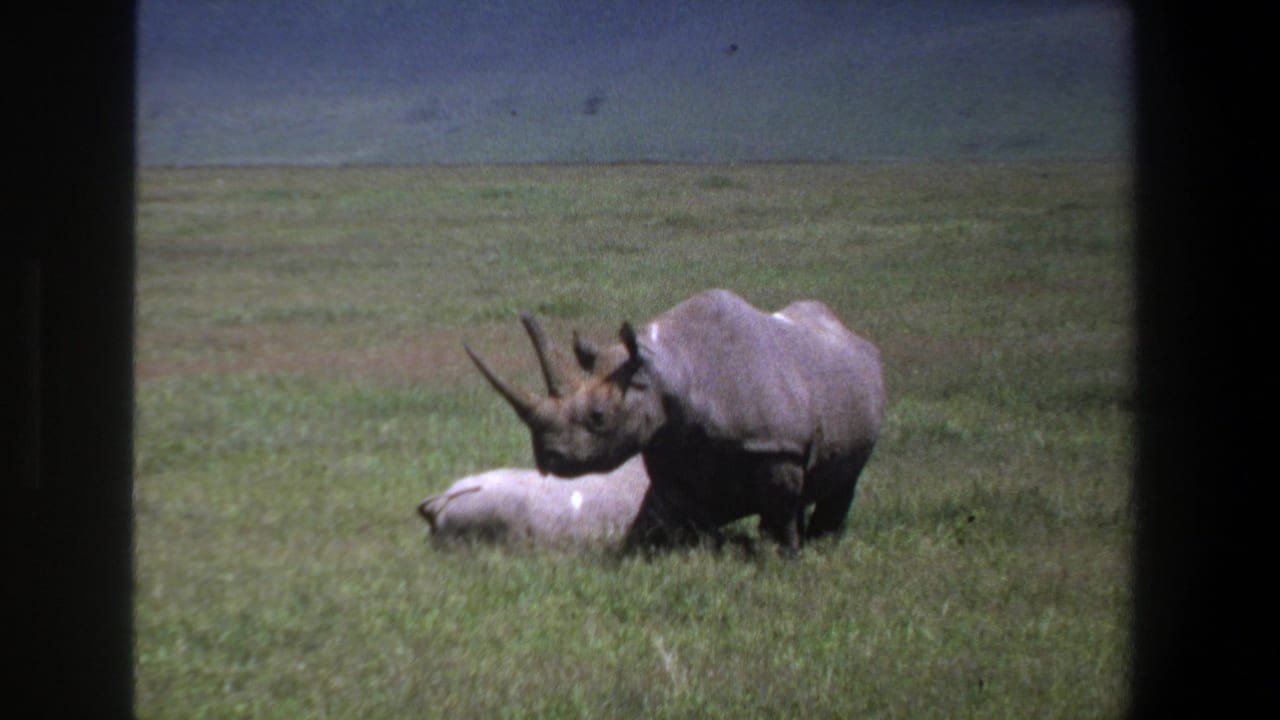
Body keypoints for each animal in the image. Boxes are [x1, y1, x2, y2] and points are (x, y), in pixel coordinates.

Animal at [465, 289, 885, 552]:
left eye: (598, 417)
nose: (547, 458)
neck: (670, 371)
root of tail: (850, 333)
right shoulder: (671, 445)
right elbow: (666, 515)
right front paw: (660, 553)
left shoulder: (775, 446)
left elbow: (779, 511)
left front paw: (785, 558)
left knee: (843, 480)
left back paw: (822, 543)